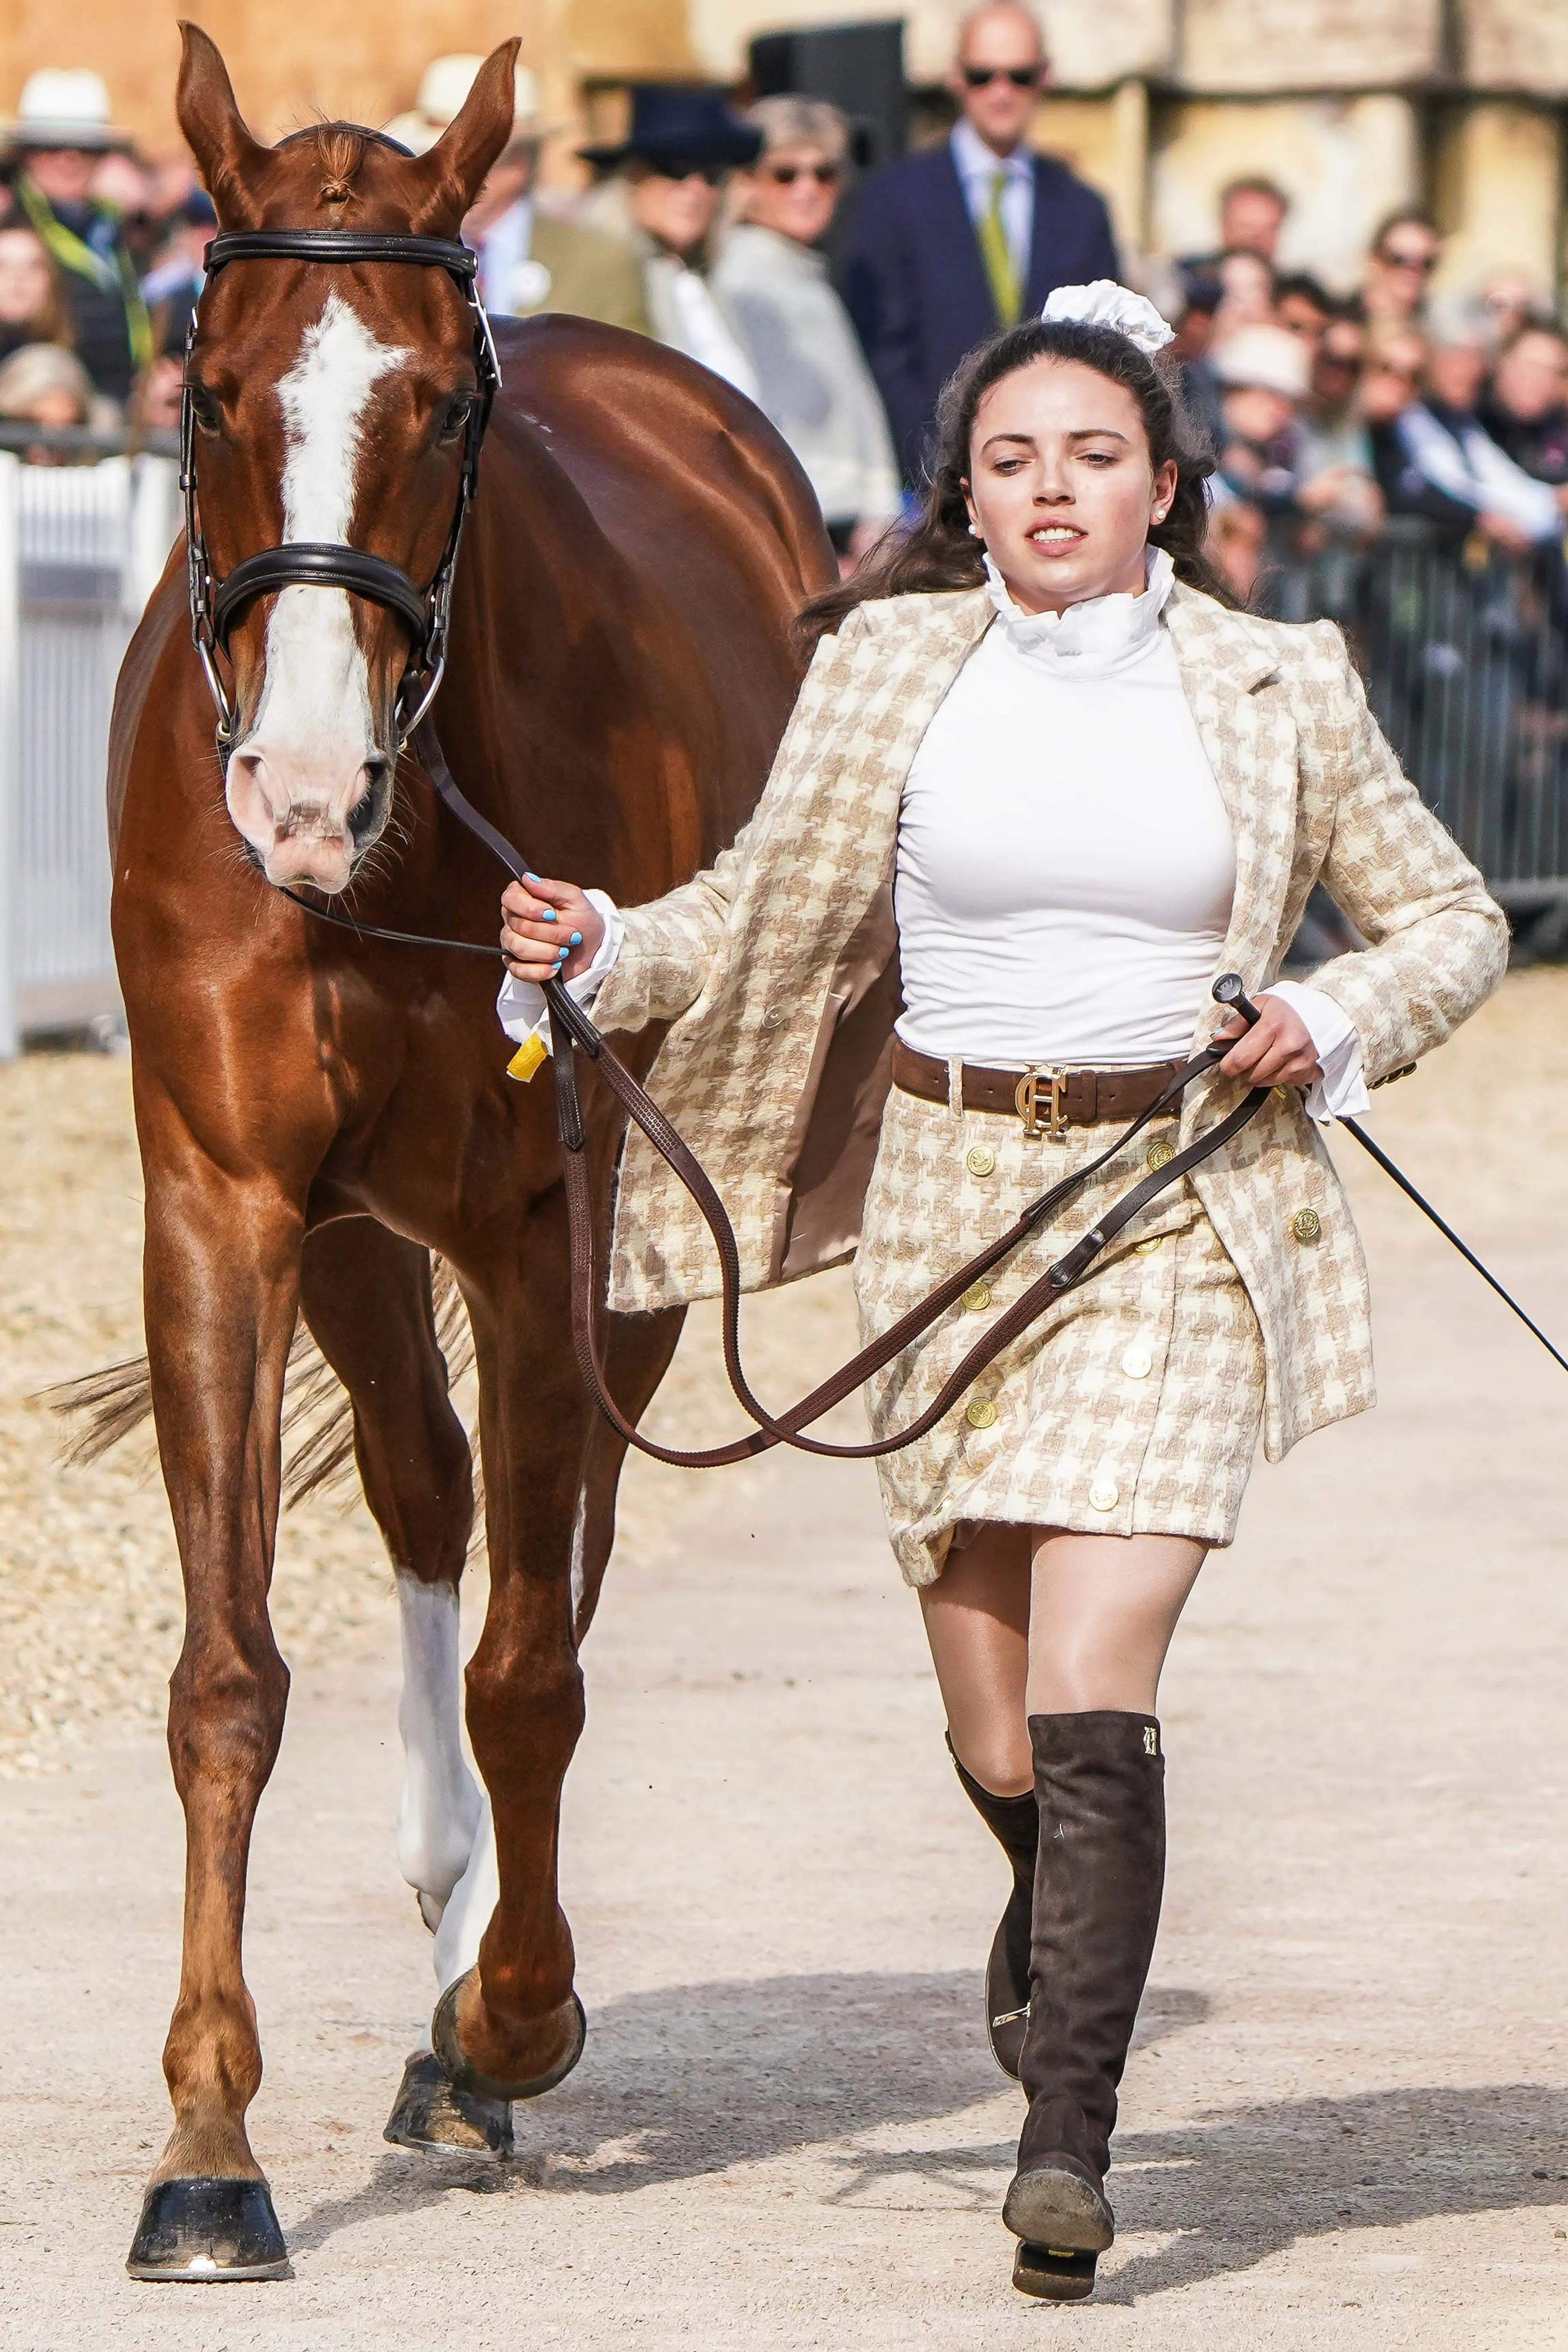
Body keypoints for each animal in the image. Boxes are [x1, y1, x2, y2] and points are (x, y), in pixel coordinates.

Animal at [104, 32, 827, 2277]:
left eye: (436, 400)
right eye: (213, 385)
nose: (299, 793)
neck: (406, 859)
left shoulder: (546, 1220)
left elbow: (531, 1667)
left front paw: (513, 2012)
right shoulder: (230, 1201)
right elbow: (231, 1673)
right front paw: (208, 2143)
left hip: (633, 1237)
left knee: (550, 1555)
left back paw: (484, 1992)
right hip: (357, 1237)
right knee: (431, 1493)